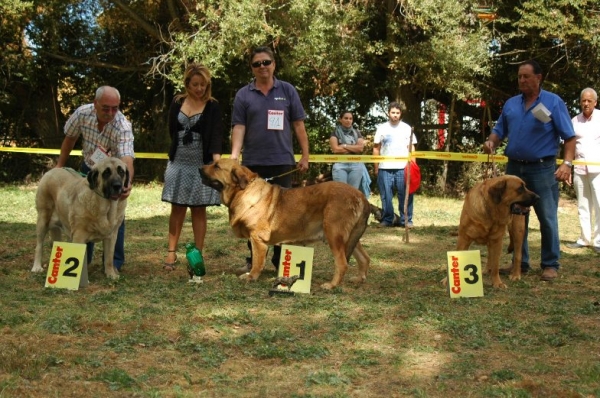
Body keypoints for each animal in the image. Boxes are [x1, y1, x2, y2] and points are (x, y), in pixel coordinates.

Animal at [200, 159, 370, 290]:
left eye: (216, 166)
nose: (199, 168)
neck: (243, 190)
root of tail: (361, 196)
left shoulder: (257, 239)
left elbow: (257, 261)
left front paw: (251, 277)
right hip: (349, 238)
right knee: (364, 258)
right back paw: (359, 279)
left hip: (334, 235)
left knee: (342, 263)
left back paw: (331, 285)